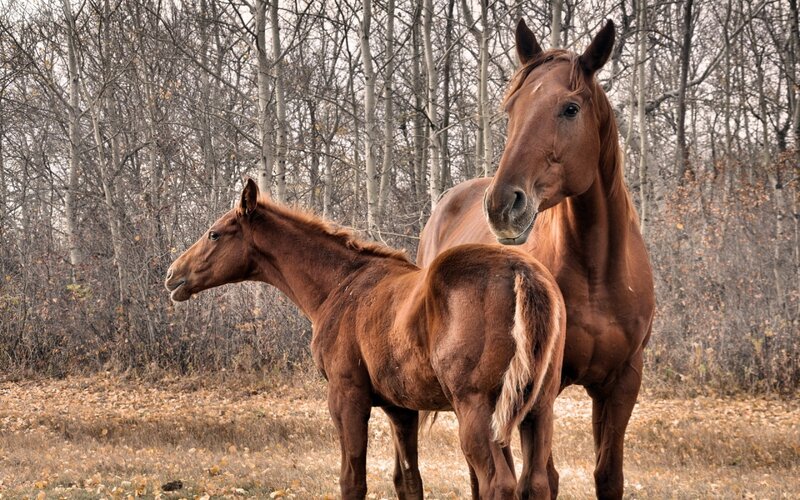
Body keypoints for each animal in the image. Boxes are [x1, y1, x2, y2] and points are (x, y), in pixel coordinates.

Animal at [165, 178, 566, 499]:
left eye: (214, 233)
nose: (172, 274)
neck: (340, 285)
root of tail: (522, 272)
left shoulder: (347, 397)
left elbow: (352, 480)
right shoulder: (400, 408)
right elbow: (408, 481)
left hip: (476, 408)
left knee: (498, 482)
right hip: (536, 409)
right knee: (537, 482)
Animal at [417, 19, 655, 500]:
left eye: (570, 108)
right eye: (512, 109)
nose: (502, 204)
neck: (597, 273)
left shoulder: (623, 382)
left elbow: (608, 476)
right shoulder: (544, 387)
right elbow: (544, 479)